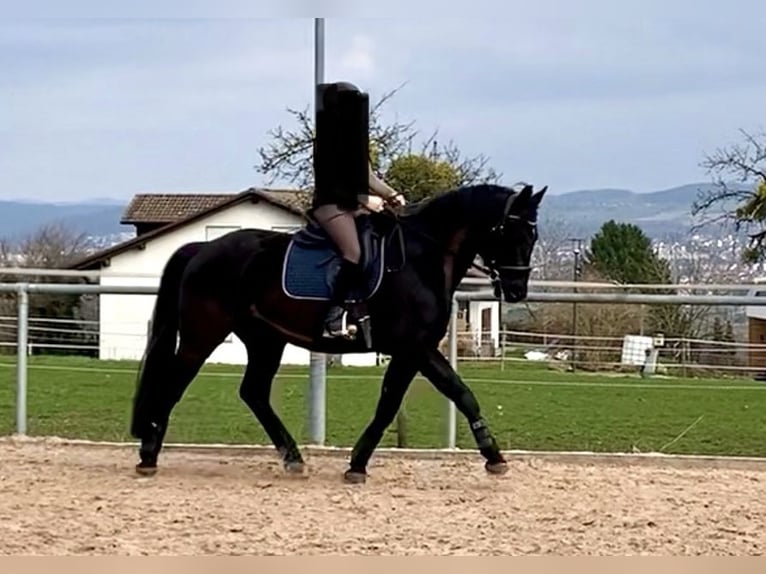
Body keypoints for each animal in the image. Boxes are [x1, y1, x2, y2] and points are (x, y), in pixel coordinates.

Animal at [130, 182, 544, 484]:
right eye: (510, 231)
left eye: (533, 236)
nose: (516, 291)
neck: (422, 258)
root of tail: (203, 248)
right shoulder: (414, 347)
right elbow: (425, 399)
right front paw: (358, 465)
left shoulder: (416, 349)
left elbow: (434, 396)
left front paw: (493, 456)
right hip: (204, 335)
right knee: (173, 384)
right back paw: (148, 457)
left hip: (266, 339)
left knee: (254, 393)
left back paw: (293, 459)